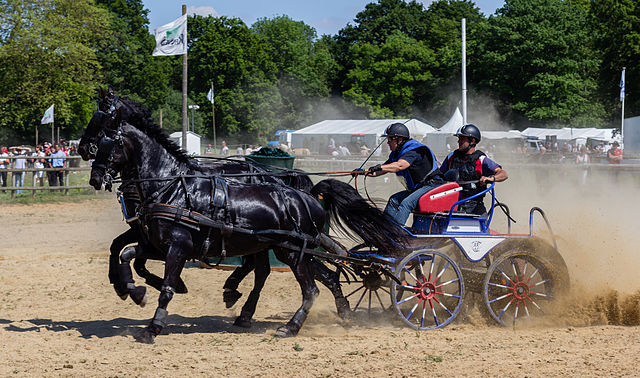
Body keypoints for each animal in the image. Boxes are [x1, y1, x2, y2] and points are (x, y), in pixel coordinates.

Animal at [85, 110, 408, 342]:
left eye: (109, 141)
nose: (94, 177)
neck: (170, 187)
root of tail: (309, 197)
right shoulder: (156, 243)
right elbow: (127, 255)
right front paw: (132, 291)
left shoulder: (178, 247)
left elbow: (165, 287)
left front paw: (153, 327)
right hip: (283, 248)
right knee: (309, 277)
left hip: (293, 252)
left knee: (310, 289)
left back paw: (289, 327)